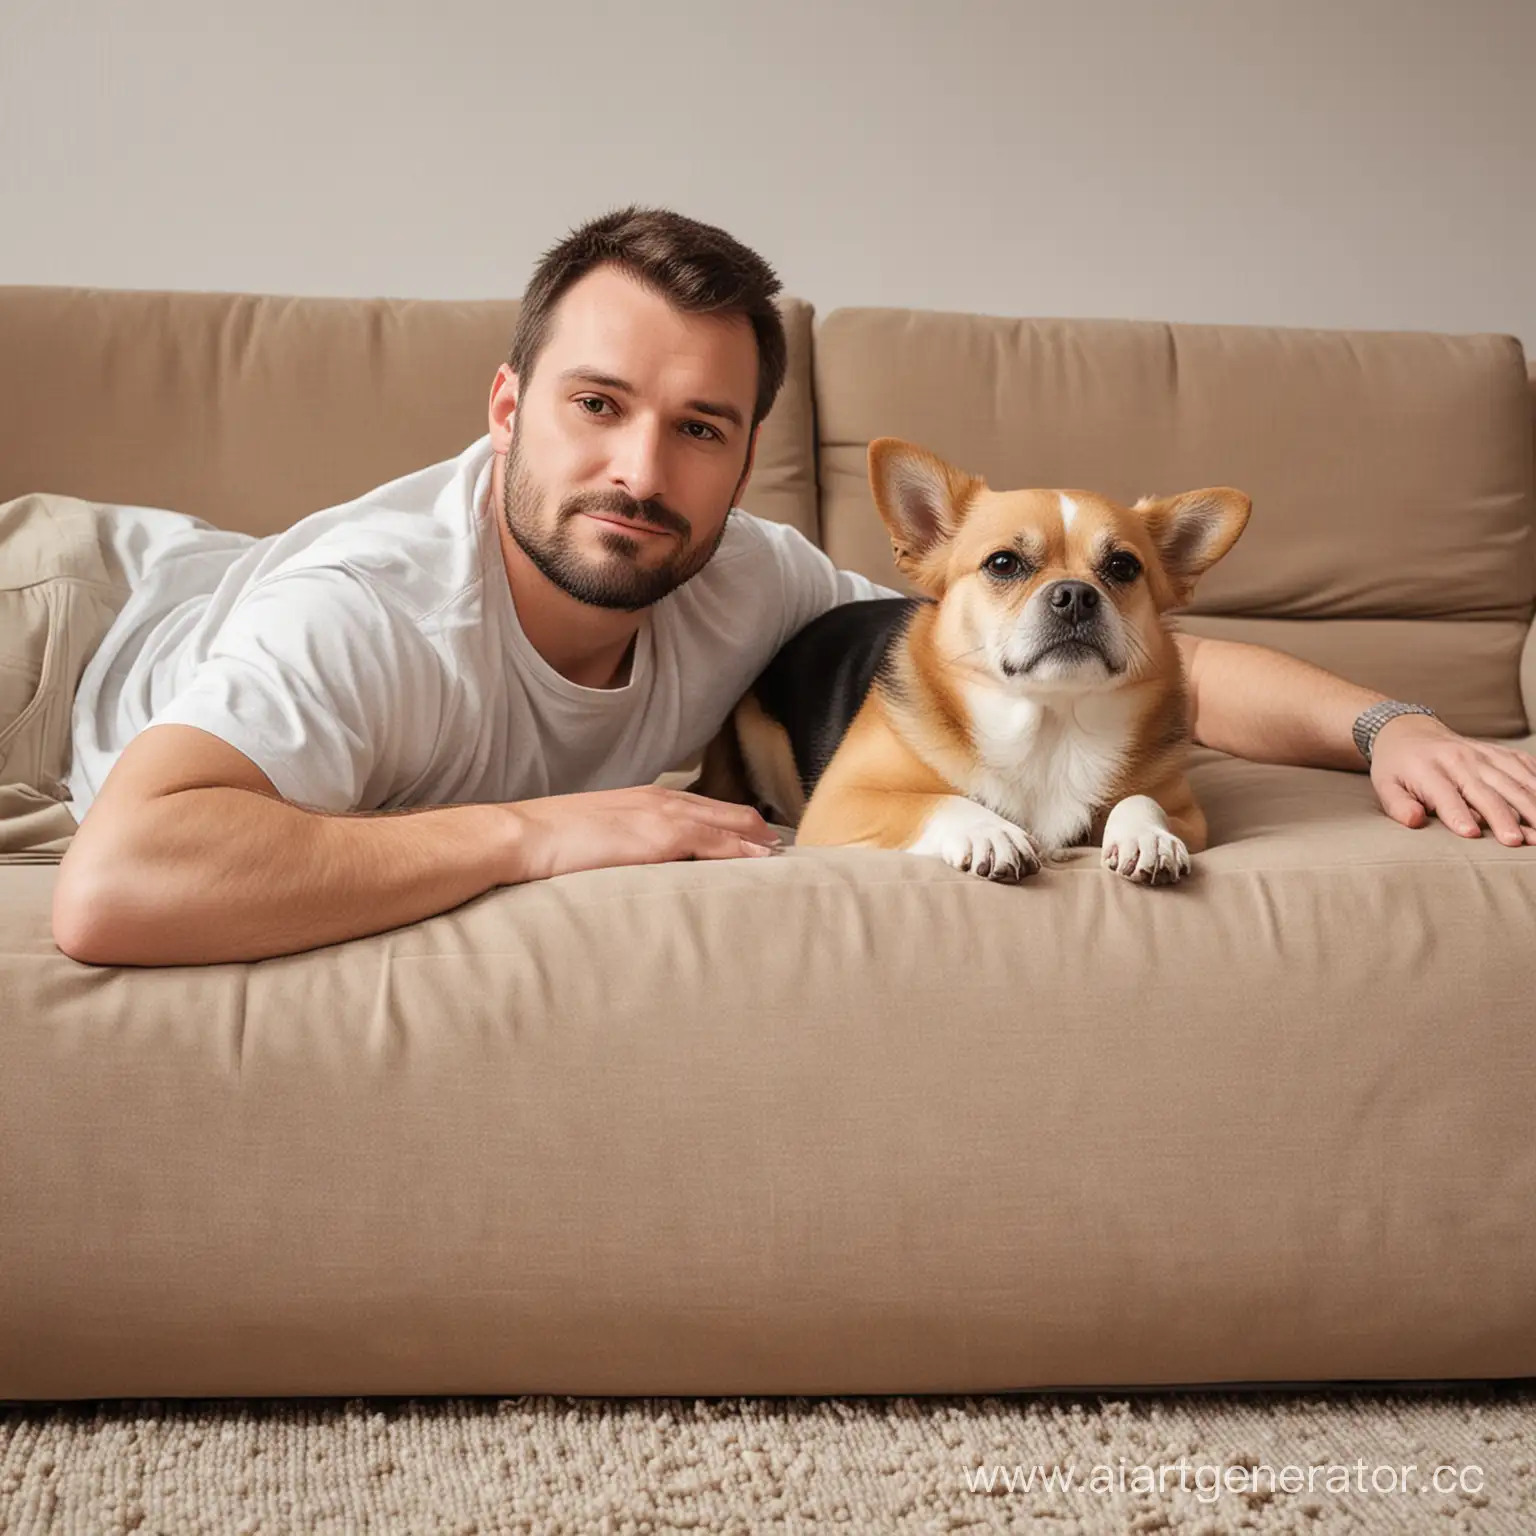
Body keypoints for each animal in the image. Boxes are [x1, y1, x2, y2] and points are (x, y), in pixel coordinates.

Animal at [697, 439, 1247, 884]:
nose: (1075, 595)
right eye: (1003, 563)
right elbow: (940, 800)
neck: (1050, 722)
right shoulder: (842, 802)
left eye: (1123, 567)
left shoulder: (1189, 815)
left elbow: (1142, 799)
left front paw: (1146, 837)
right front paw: (990, 831)